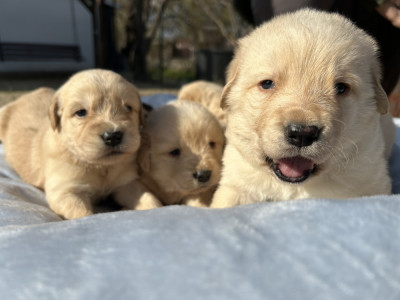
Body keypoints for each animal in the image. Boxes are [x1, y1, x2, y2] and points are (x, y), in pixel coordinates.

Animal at [0, 68, 148, 218]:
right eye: (81, 112)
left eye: (128, 108)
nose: (113, 136)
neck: (99, 166)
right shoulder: (65, 191)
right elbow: (83, 215)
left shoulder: (128, 182)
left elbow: (148, 198)